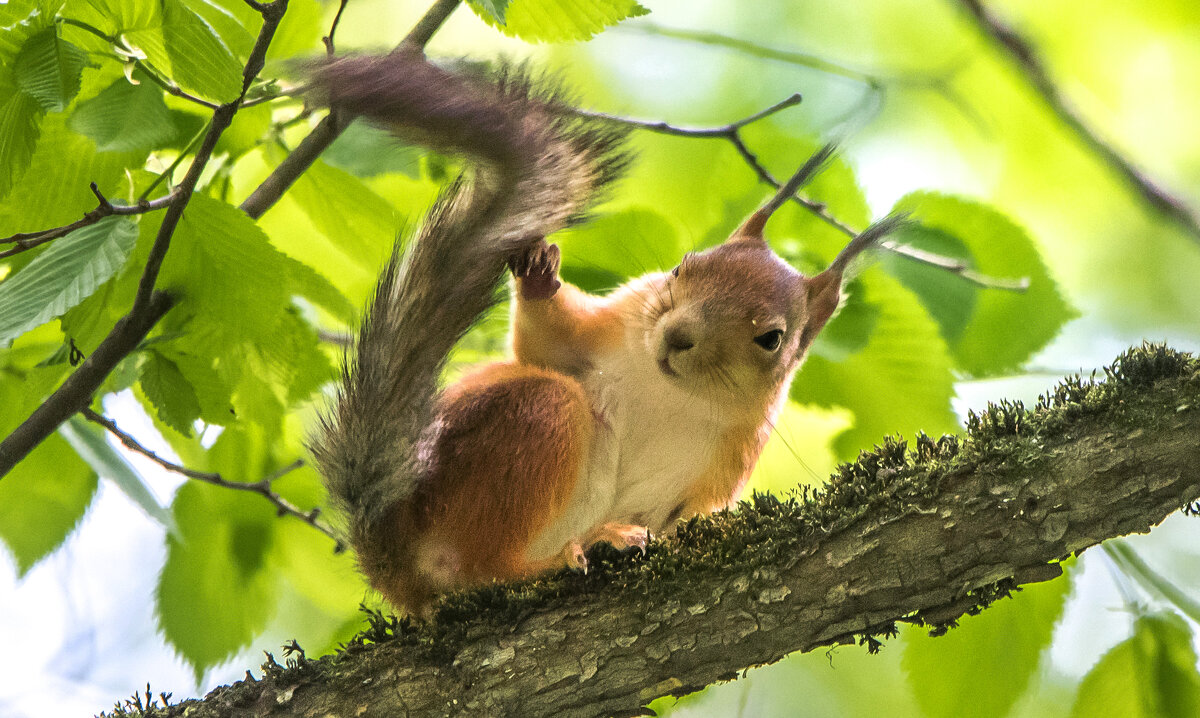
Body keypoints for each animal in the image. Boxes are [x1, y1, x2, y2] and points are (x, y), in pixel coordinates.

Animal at [307, 51, 902, 612]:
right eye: (683, 267)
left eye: (771, 339)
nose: (677, 336)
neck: (673, 392)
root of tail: (393, 558)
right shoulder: (609, 327)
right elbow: (547, 344)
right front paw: (539, 276)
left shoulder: (729, 462)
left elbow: (694, 518)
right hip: (535, 420)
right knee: (483, 568)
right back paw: (560, 557)